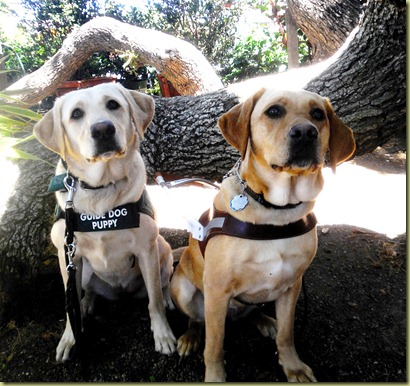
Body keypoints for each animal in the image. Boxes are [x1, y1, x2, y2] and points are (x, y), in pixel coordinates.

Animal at [34, 83, 175, 364]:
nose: (102, 129)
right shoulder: (67, 255)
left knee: (163, 284)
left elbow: (153, 300)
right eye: (76, 114)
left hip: (162, 249)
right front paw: (70, 338)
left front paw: (163, 334)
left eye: (113, 104)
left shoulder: (146, 250)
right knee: (87, 291)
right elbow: (70, 304)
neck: (101, 188)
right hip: (84, 271)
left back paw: (167, 299)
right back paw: (87, 304)